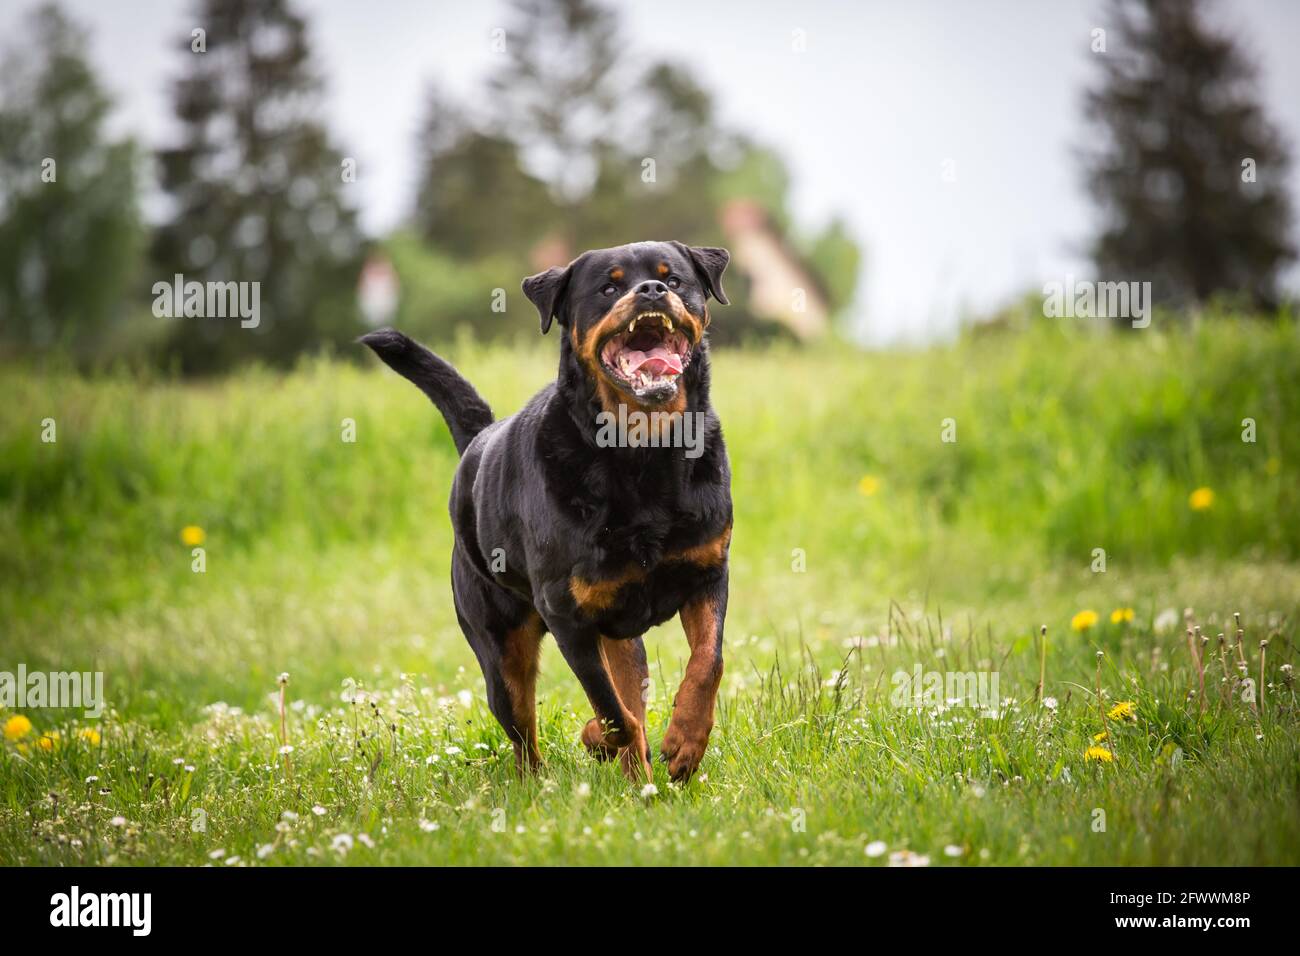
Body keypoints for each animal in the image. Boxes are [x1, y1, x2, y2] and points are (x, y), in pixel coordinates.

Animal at [364, 243, 733, 780]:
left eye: (675, 280)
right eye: (608, 288)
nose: (650, 290)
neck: (644, 452)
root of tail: (478, 441)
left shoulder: (708, 572)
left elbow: (707, 661)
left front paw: (686, 740)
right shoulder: (567, 615)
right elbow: (611, 708)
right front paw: (602, 737)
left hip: (619, 634)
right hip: (500, 648)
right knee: (523, 733)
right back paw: (543, 781)